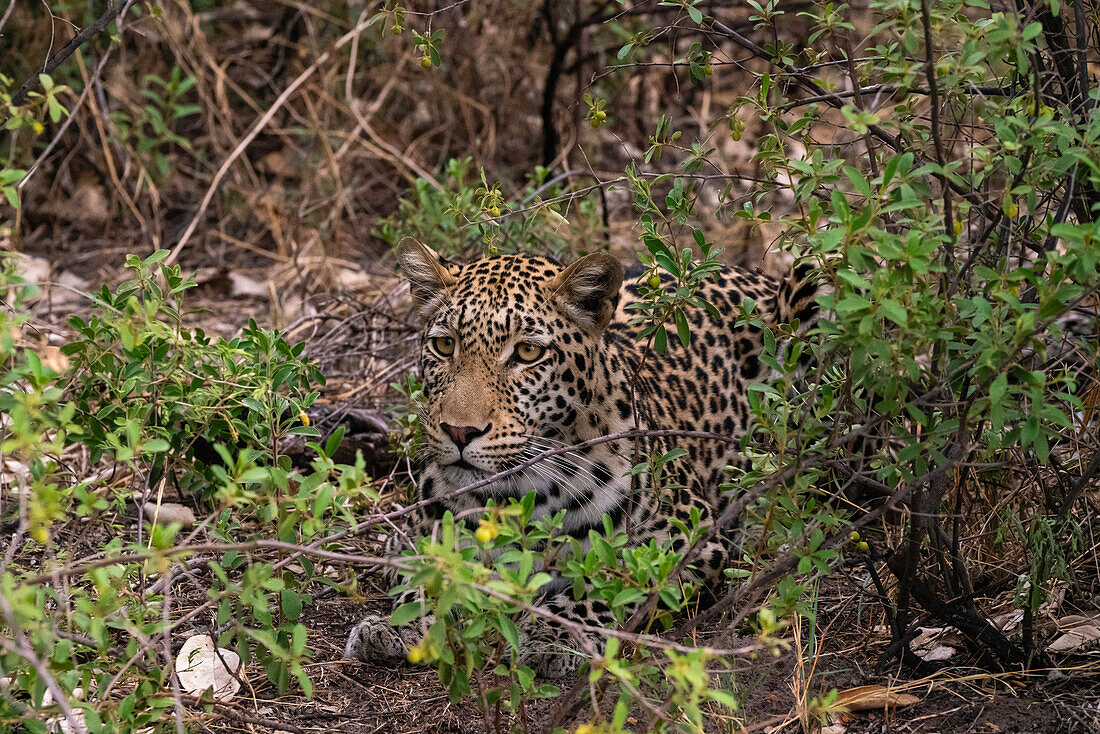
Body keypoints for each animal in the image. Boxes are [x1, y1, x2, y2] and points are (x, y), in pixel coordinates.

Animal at [343, 239, 818, 677]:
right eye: (444, 346)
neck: (518, 496)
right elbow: (431, 572)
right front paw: (399, 622)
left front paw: (555, 635)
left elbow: (611, 577)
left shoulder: (689, 534)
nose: (460, 431)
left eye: (527, 353)